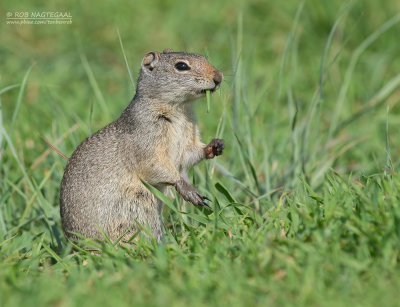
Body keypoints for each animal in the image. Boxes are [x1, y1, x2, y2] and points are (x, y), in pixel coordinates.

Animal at [59, 48, 223, 243]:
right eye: (181, 66)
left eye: (204, 57)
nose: (219, 77)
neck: (180, 109)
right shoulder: (146, 141)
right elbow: (155, 165)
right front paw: (187, 189)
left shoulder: (187, 140)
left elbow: (188, 155)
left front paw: (215, 146)